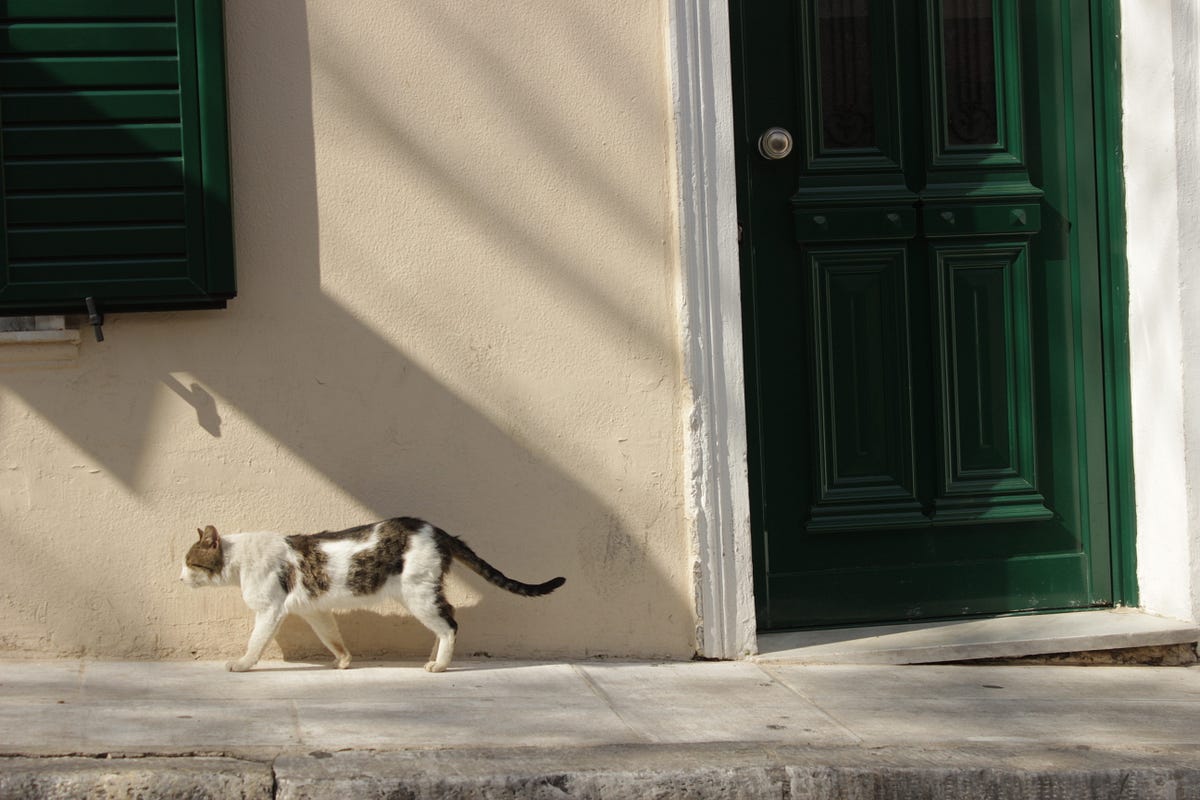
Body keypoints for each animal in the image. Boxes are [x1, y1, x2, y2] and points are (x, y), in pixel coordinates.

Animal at [181, 515, 566, 671]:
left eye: (189, 562)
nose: (180, 576)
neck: (238, 560)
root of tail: (437, 530)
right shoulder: (314, 609)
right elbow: (331, 636)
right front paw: (343, 661)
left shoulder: (269, 610)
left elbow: (255, 642)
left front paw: (242, 664)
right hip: (422, 594)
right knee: (447, 620)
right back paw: (436, 655)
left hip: (418, 593)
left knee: (451, 622)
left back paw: (440, 665)